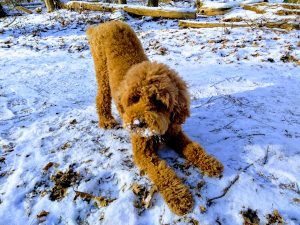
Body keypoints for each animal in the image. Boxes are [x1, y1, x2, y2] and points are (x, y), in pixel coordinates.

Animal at [86, 21, 223, 216]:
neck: (157, 133)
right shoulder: (143, 152)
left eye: (158, 101)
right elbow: (162, 171)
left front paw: (210, 163)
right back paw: (106, 121)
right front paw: (179, 196)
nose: (138, 123)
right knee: (101, 97)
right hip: (102, 72)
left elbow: (193, 148)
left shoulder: (175, 133)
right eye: (135, 98)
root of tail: (107, 23)